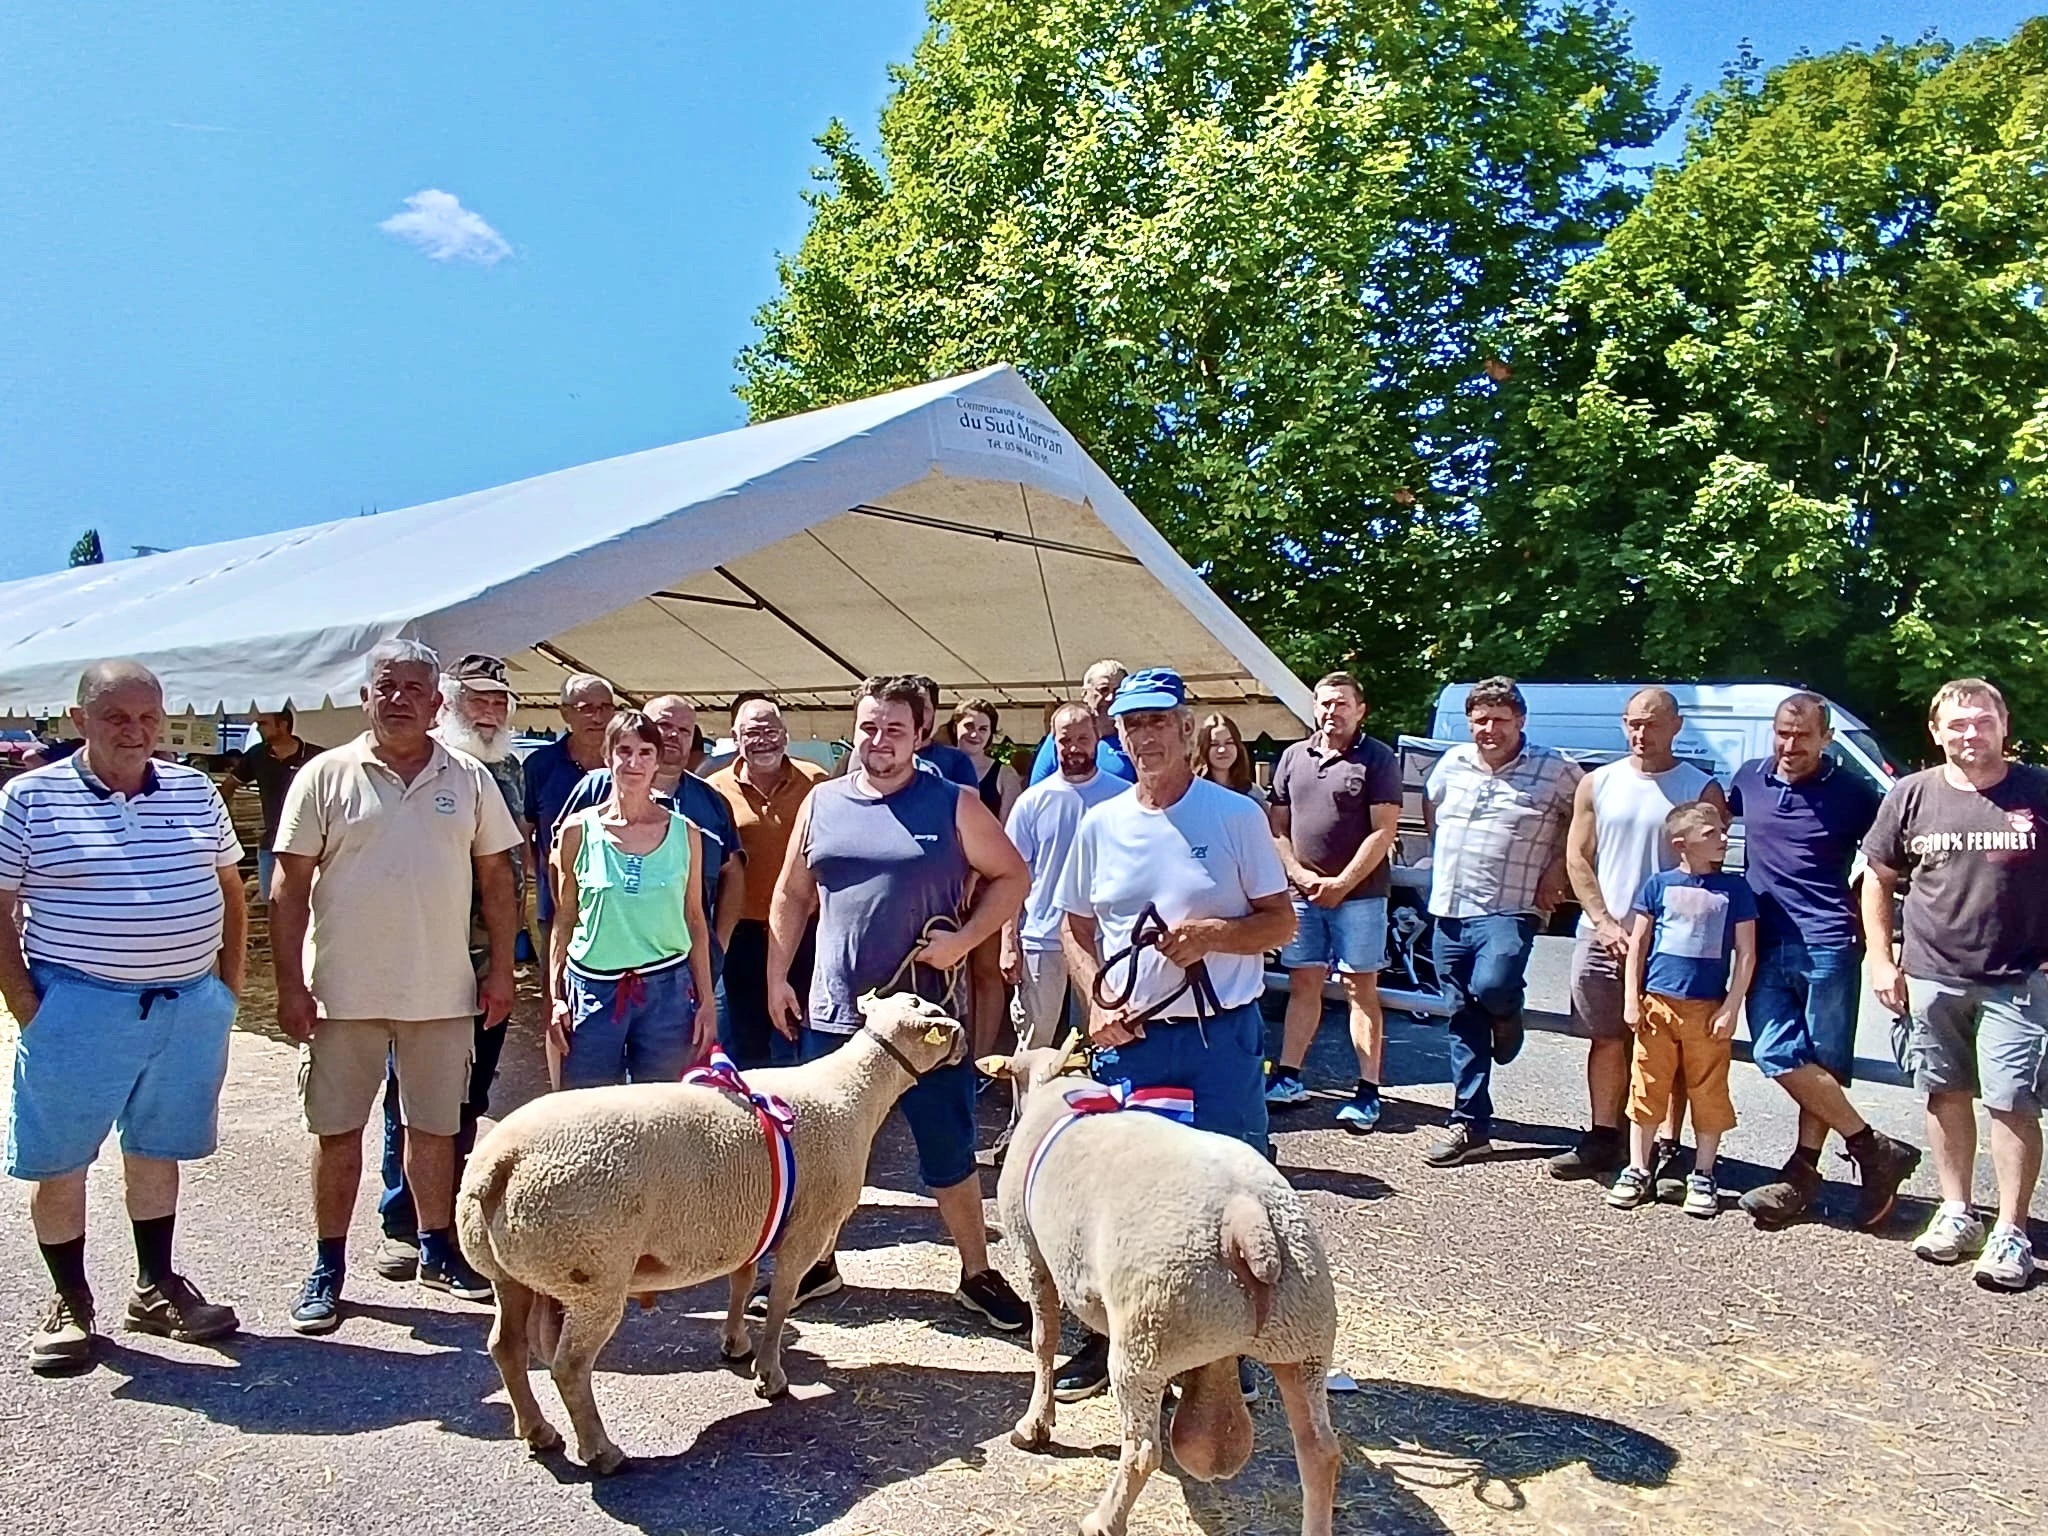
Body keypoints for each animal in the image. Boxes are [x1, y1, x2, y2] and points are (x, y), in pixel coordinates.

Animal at [458, 991, 966, 1474]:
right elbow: (780, 1302)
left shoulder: (752, 1222)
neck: (855, 1091)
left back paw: (538, 1430)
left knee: (507, 1347)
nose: (963, 1044)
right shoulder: (807, 1230)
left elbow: (742, 1284)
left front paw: (735, 1343)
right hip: (593, 1274)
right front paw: (770, 1376)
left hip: (514, 1274)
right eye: (935, 1014)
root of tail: (497, 1164)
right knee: (569, 1367)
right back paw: (602, 1452)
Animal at [987, 1056, 1343, 1536]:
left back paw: (1103, 1520)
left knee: (1142, 1452)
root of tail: (1248, 1218)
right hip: (1302, 1339)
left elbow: (1043, 1341)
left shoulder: (1032, 1253)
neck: (1055, 1089)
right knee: (1319, 1451)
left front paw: (1034, 1425)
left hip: (1147, 1338)